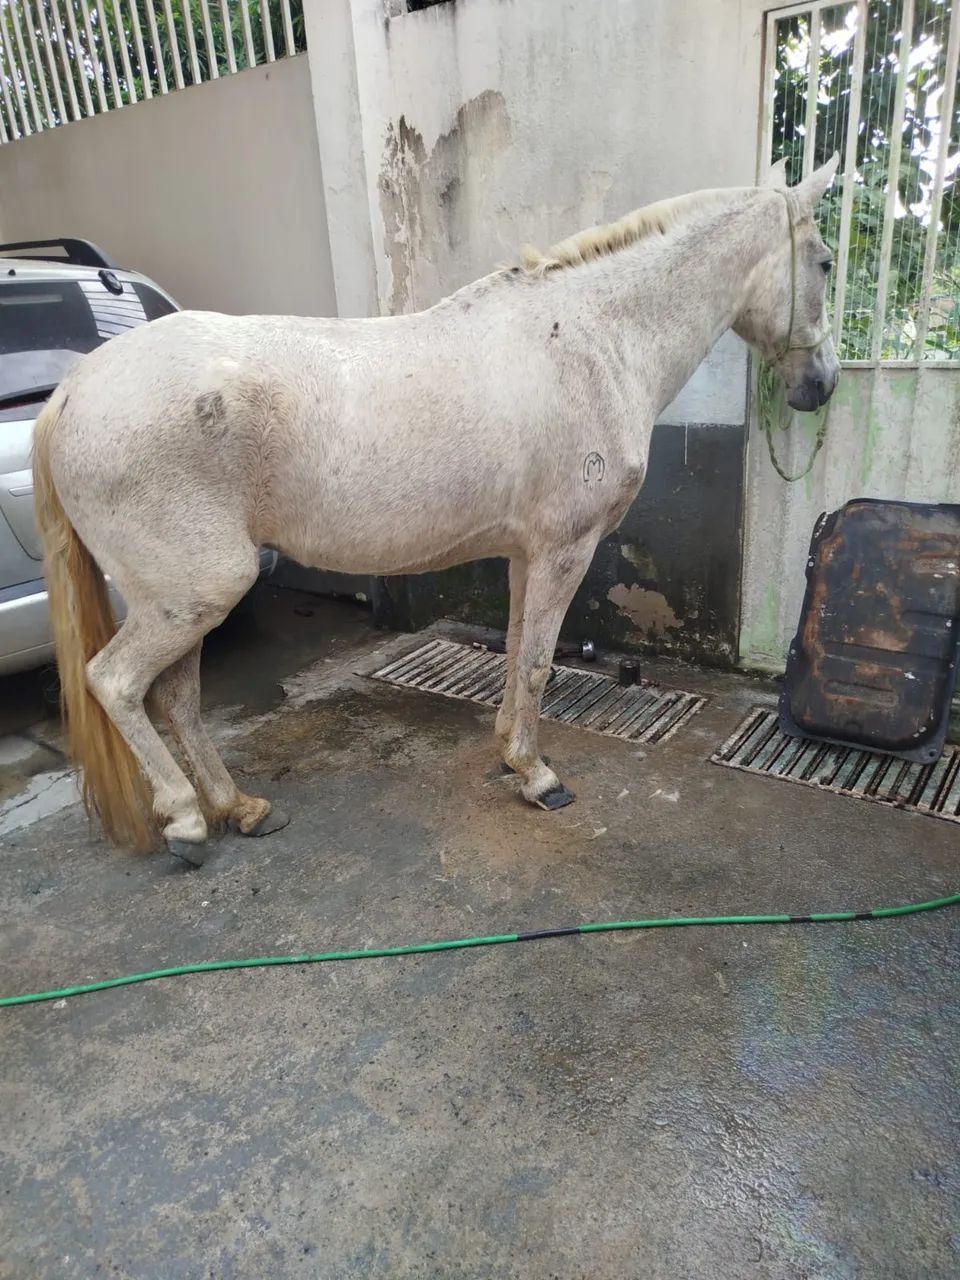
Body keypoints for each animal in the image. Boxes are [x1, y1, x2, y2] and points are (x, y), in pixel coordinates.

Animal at [33, 155, 840, 858]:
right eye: (828, 263)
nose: (821, 386)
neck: (593, 341)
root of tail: (72, 392)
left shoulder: (526, 554)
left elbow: (516, 652)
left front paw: (511, 756)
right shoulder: (565, 548)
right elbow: (539, 664)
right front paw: (538, 777)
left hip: (184, 599)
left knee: (176, 700)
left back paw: (241, 808)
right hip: (197, 590)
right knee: (120, 685)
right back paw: (187, 821)